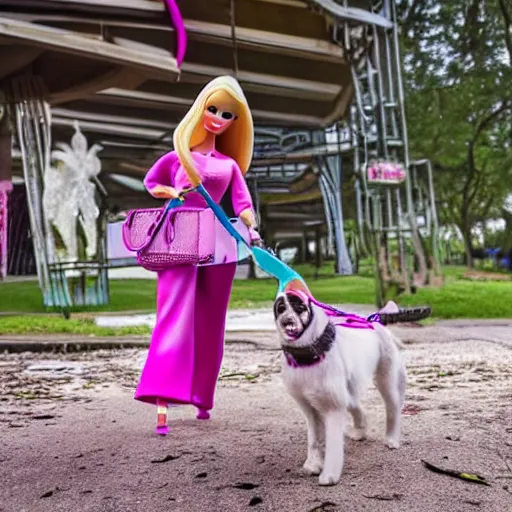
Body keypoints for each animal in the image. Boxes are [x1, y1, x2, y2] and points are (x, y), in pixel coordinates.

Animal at [274, 290, 406, 486]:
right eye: (281, 308)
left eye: (300, 307)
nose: (287, 321)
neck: (308, 356)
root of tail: (373, 321)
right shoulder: (309, 407)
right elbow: (314, 439)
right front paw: (313, 464)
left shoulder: (333, 407)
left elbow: (333, 444)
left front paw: (329, 475)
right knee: (356, 406)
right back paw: (360, 431)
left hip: (385, 377)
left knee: (393, 406)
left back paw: (392, 438)